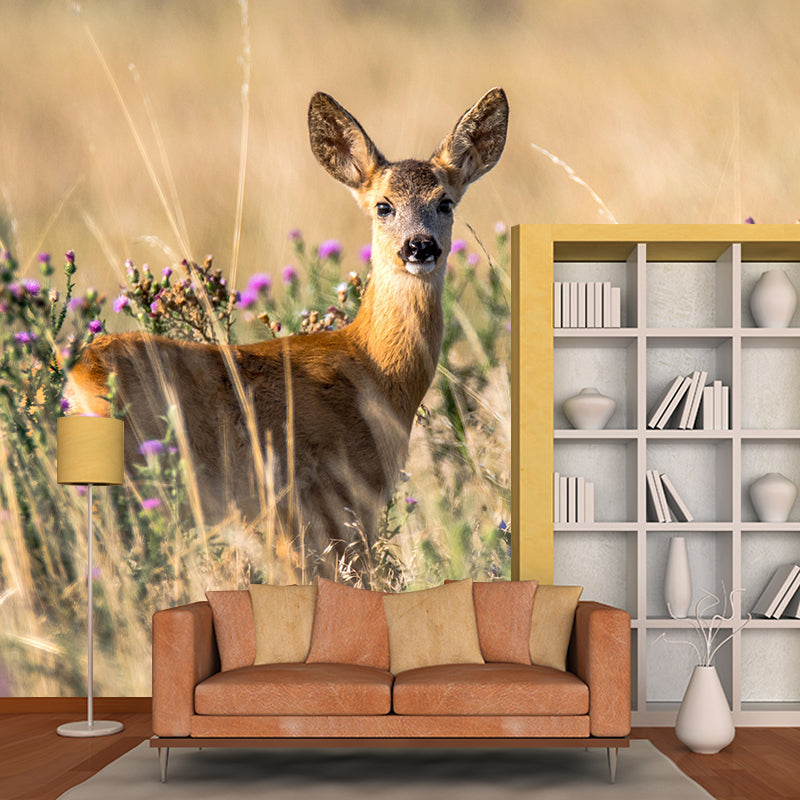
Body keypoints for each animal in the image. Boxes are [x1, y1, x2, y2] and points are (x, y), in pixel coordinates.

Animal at [66, 87, 509, 581]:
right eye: (383, 206)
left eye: (445, 202)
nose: (420, 246)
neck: (374, 369)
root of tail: (83, 370)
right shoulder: (334, 498)